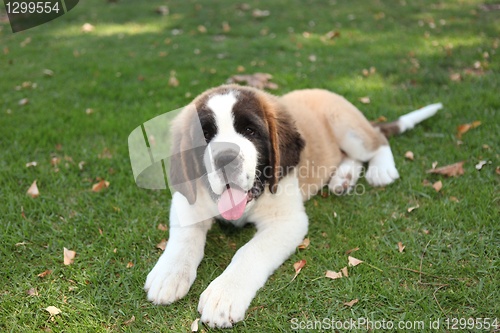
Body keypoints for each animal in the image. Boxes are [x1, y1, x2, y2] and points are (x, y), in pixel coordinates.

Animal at [145, 83, 442, 326]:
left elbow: (249, 252)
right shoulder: (187, 199)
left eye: (250, 131)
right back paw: (343, 178)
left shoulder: (287, 221)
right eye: (205, 136)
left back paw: (380, 170)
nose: (224, 158)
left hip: (347, 128)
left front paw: (224, 294)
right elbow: (185, 237)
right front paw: (169, 273)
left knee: (377, 142)